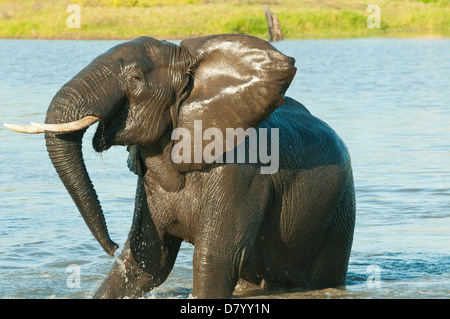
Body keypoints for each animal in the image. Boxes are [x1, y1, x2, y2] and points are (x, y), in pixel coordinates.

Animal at [3, 33, 356, 298]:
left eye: (134, 78)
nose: (111, 245)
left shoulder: (239, 174)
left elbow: (214, 262)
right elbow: (145, 263)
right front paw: (126, 257)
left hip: (339, 212)